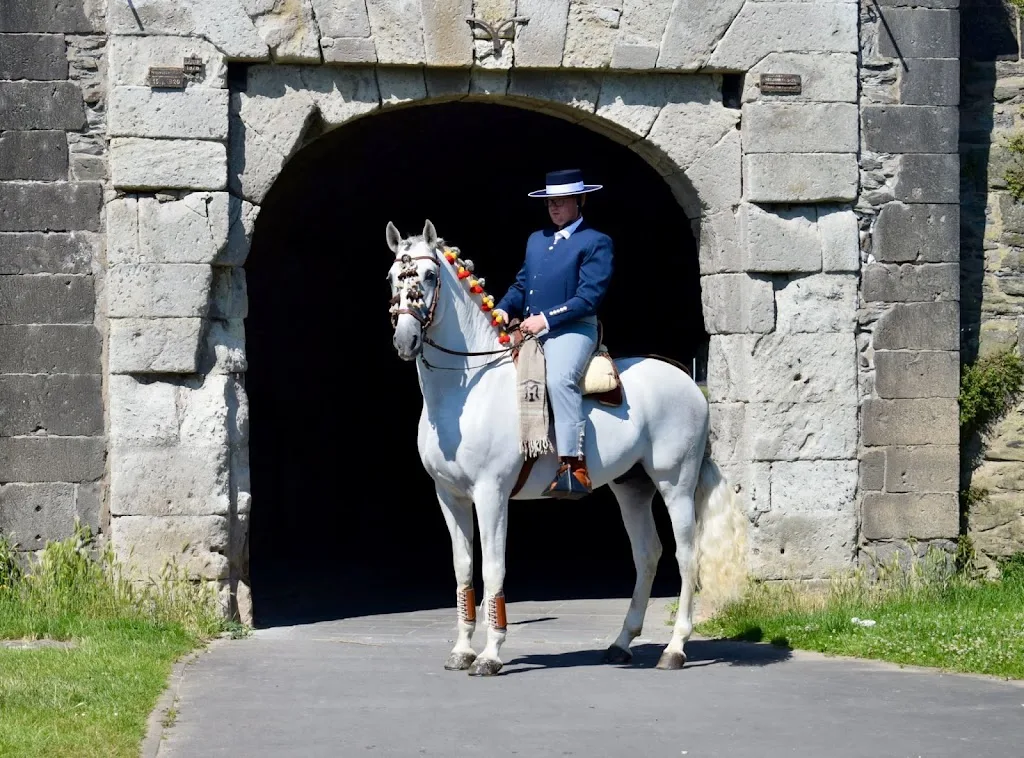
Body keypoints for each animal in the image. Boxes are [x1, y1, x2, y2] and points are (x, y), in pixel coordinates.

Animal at [385, 219, 748, 676]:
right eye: (393, 278)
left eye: (431, 276)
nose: (406, 340)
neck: (467, 390)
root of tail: (685, 379)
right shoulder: (449, 496)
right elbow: (464, 569)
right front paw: (463, 649)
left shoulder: (491, 494)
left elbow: (493, 568)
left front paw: (490, 654)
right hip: (632, 488)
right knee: (648, 554)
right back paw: (621, 643)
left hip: (675, 484)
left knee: (687, 556)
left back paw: (675, 648)